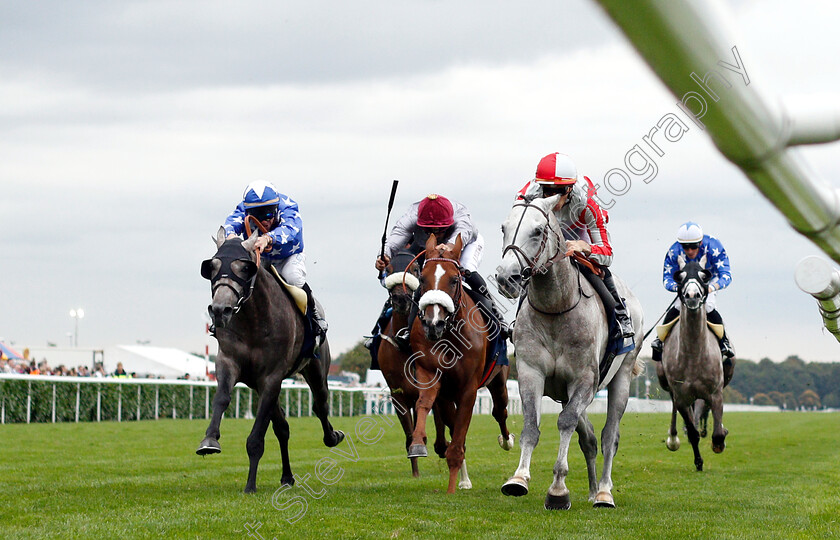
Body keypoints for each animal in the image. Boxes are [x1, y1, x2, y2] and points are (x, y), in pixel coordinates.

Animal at [199, 228, 342, 494]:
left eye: (244, 268)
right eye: (211, 267)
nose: (220, 310)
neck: (253, 322)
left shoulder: (272, 377)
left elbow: (256, 437)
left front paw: (250, 485)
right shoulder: (229, 362)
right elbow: (222, 398)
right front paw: (210, 440)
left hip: (317, 370)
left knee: (320, 405)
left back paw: (332, 436)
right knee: (283, 428)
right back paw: (287, 476)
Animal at [406, 232, 516, 494]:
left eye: (454, 280)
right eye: (422, 279)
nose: (433, 323)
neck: (449, 335)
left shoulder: (468, 388)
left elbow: (461, 433)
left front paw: (451, 489)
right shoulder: (430, 374)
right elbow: (425, 404)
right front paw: (417, 444)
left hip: (499, 380)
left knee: (500, 411)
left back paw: (506, 440)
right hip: (448, 395)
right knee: (454, 424)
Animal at [496, 195, 648, 510]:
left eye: (538, 231)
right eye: (504, 228)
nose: (506, 278)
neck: (556, 308)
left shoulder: (584, 379)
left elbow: (565, 422)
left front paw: (557, 489)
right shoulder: (531, 372)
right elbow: (531, 426)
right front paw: (518, 478)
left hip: (622, 376)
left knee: (609, 435)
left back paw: (603, 493)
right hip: (566, 392)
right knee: (588, 437)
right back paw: (591, 491)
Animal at [656, 258, 728, 468]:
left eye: (704, 276)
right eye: (680, 277)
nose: (692, 295)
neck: (694, 355)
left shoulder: (715, 392)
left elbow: (717, 433)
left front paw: (719, 442)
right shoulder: (681, 395)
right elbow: (693, 433)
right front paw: (698, 461)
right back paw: (673, 438)